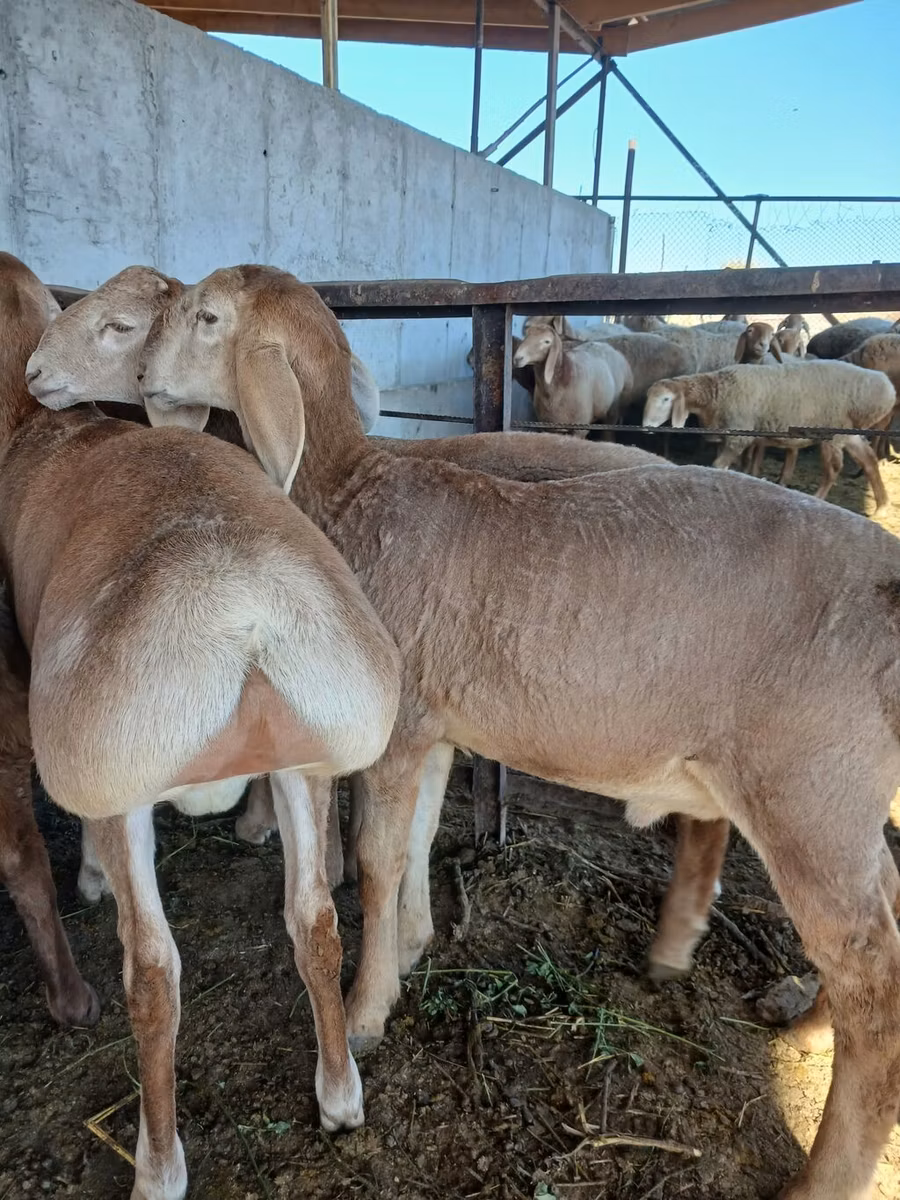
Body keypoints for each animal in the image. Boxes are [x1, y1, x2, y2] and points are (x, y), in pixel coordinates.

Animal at [3, 252, 403, 1200]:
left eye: (120, 327)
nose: (38, 372)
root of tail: (240, 605)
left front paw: (90, 879)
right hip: (306, 752)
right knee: (315, 923)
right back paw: (340, 1094)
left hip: (117, 774)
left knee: (153, 976)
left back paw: (157, 1164)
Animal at [643, 359, 894, 513]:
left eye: (666, 400)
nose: (645, 426)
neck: (717, 392)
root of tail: (887, 388)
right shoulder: (727, 435)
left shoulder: (739, 436)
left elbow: (718, 465)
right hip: (849, 433)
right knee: (869, 460)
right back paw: (882, 505)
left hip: (832, 433)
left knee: (833, 468)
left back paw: (818, 497)